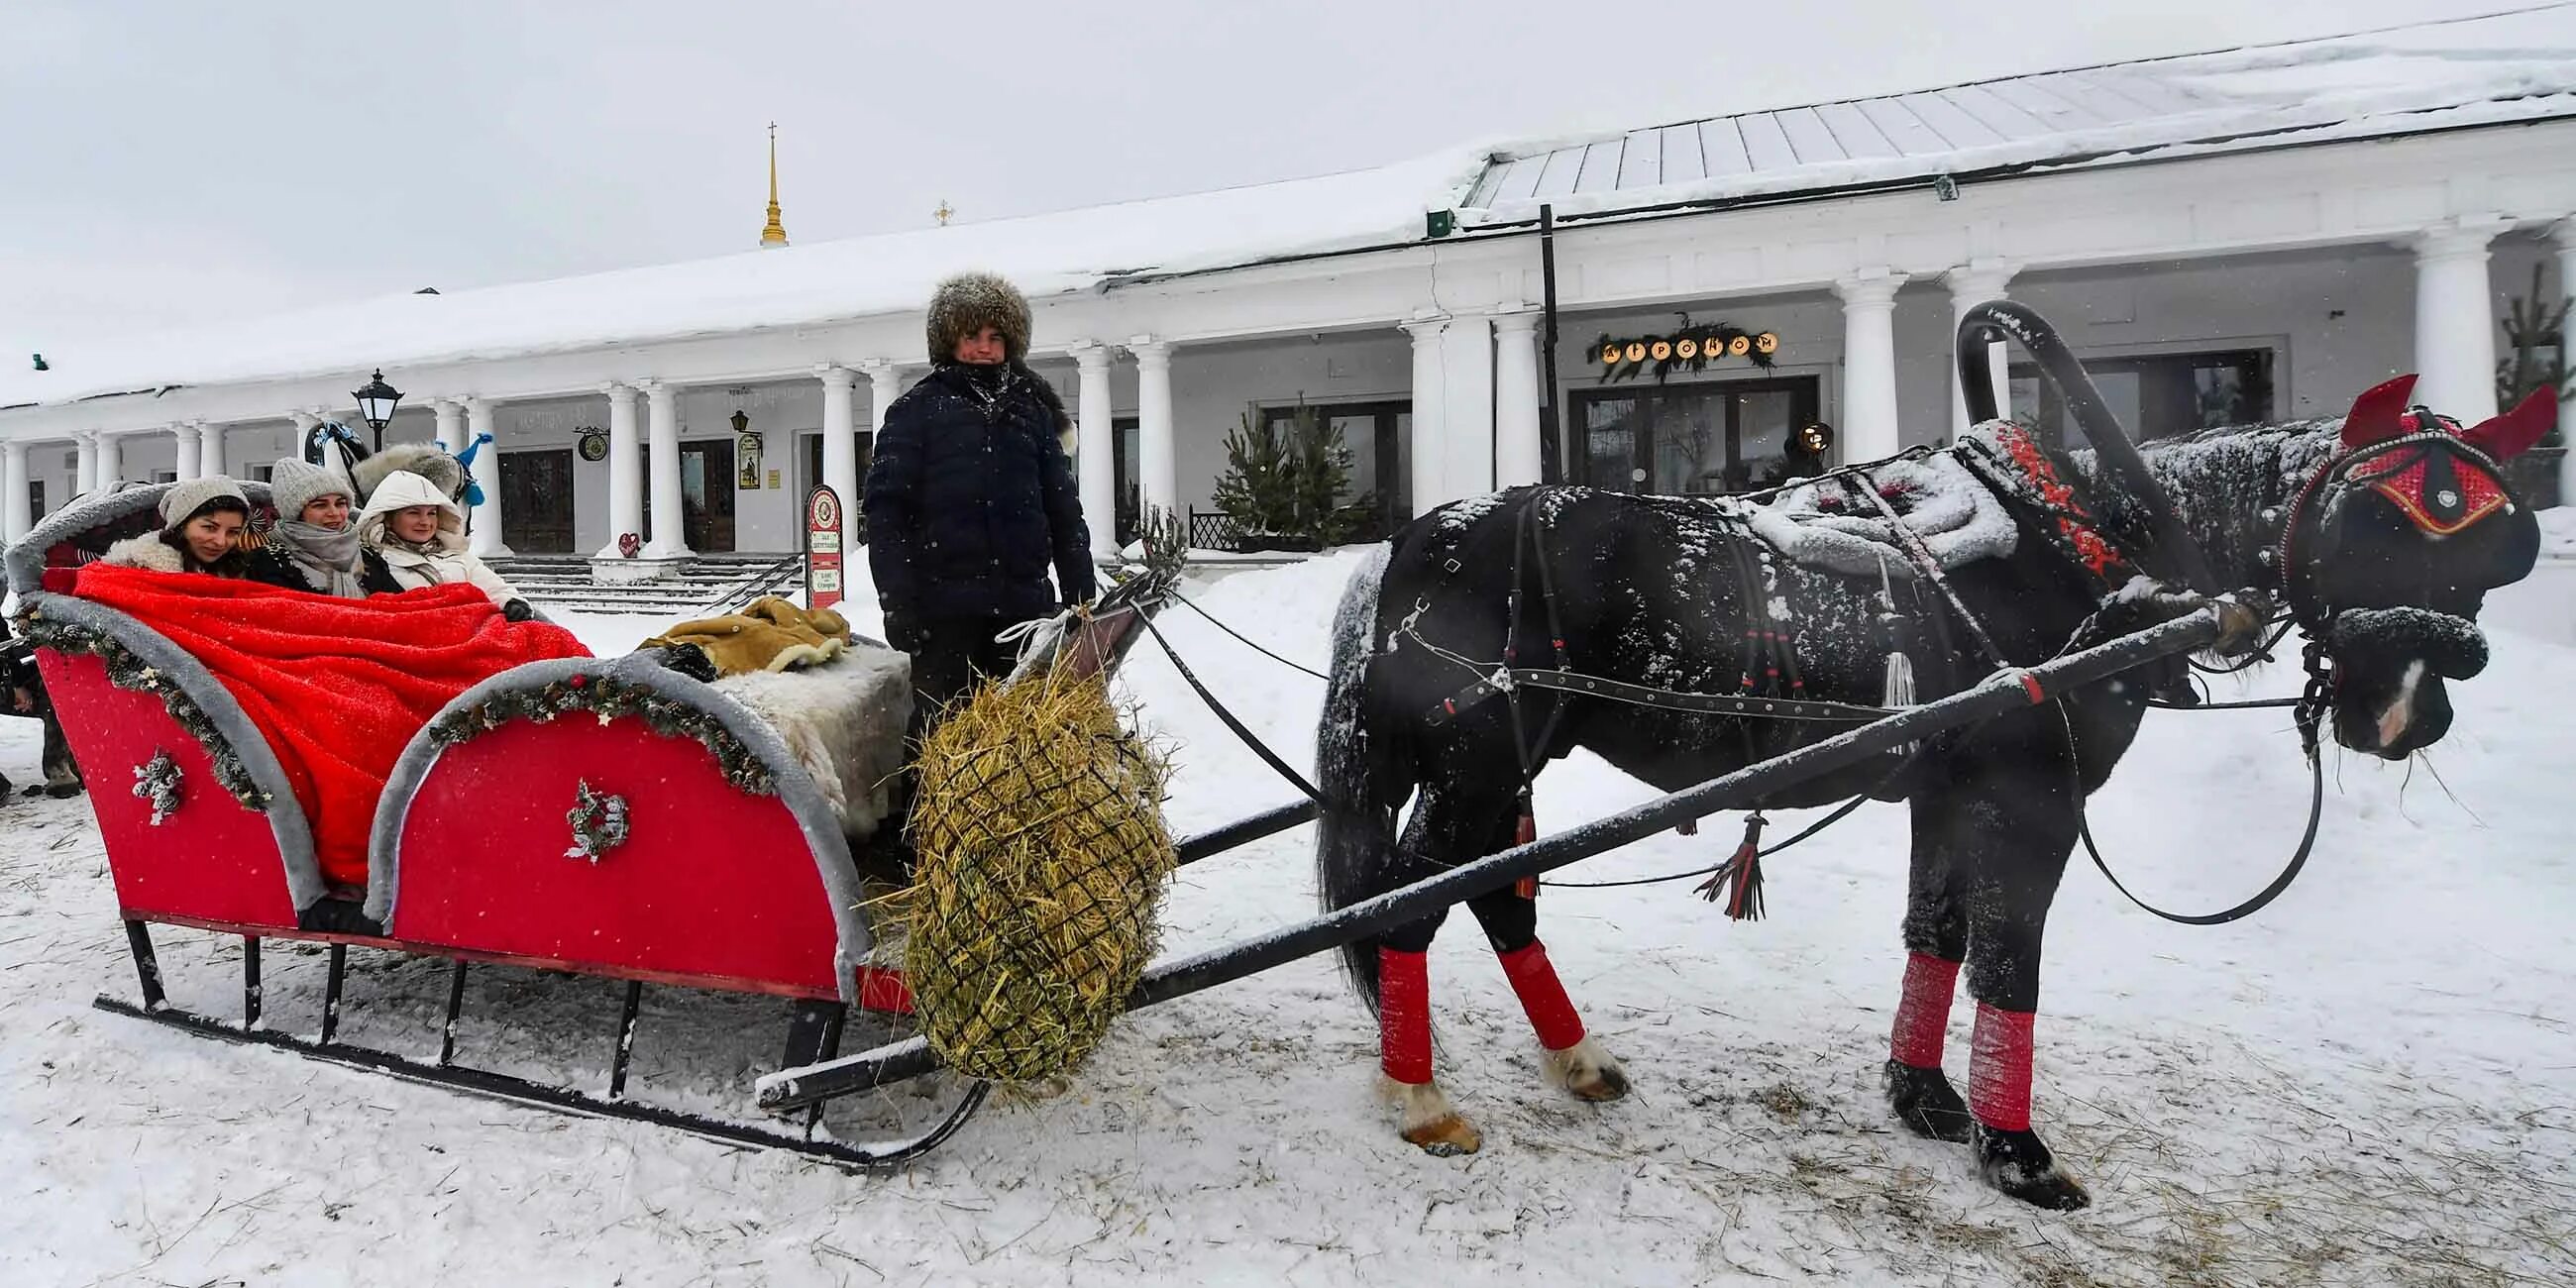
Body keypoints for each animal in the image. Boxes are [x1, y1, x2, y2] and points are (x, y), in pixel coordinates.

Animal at [1329, 332, 2555, 1205]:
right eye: (2369, 528)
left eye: (2496, 550)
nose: (2406, 708)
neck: (2096, 543)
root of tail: (1420, 536)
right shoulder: (2031, 792)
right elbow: (2010, 961)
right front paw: (2016, 1150)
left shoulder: (1947, 787)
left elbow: (1938, 931)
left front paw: (1921, 1096)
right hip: (1480, 759)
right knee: (1409, 902)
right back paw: (1419, 1094)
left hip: (1502, 764)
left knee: (1489, 896)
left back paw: (1574, 1057)